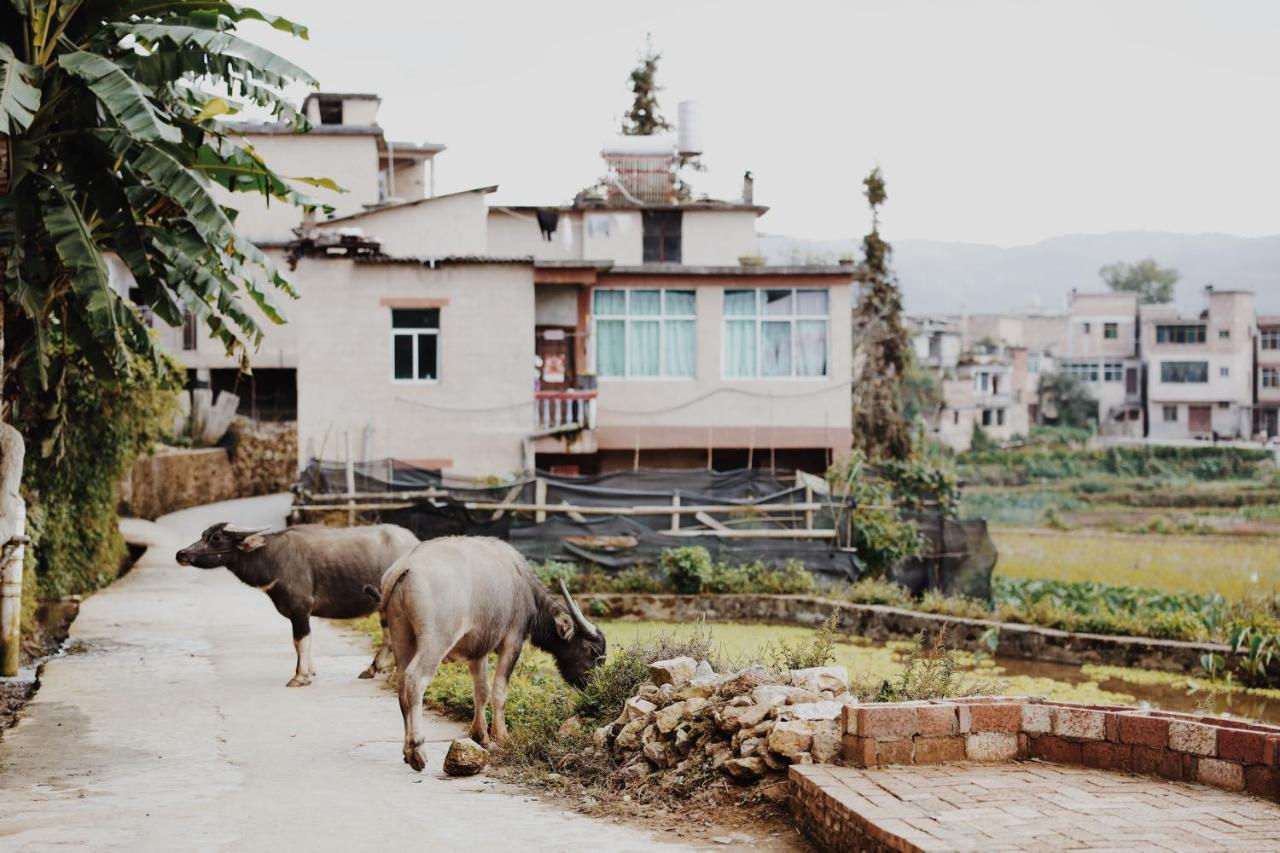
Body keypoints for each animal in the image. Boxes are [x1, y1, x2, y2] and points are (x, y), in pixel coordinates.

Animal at [172, 517, 414, 686]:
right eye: (203, 534)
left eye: (216, 538)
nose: (181, 554)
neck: (271, 558)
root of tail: (414, 543)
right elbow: (307, 641)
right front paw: (312, 670)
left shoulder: (300, 608)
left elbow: (299, 642)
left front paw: (300, 676)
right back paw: (374, 669)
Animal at [368, 535, 606, 768]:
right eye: (593, 651)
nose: (593, 686)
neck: (521, 582)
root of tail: (406, 566)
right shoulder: (513, 641)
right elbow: (499, 691)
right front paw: (501, 735)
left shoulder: (478, 650)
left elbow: (481, 691)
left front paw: (480, 734)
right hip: (436, 639)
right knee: (415, 679)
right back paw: (417, 749)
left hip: (401, 636)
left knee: (401, 683)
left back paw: (407, 751)